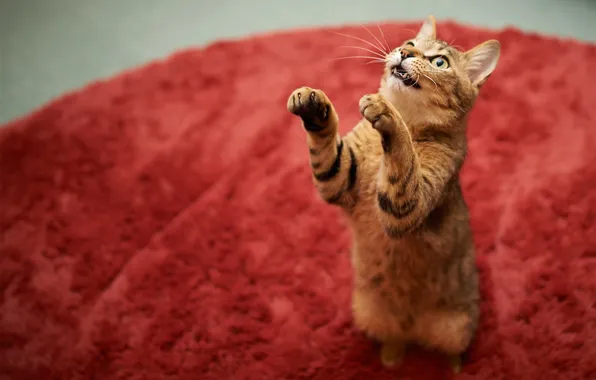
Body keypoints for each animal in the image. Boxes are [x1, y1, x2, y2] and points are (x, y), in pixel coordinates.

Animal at [286, 15, 500, 372]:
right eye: (410, 44)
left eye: (439, 62)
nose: (403, 53)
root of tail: (413, 328)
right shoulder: (338, 178)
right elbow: (326, 146)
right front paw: (314, 105)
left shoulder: (410, 204)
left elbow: (402, 152)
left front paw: (385, 111)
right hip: (368, 311)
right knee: (395, 338)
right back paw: (391, 356)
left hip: (457, 326)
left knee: (451, 348)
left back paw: (454, 367)